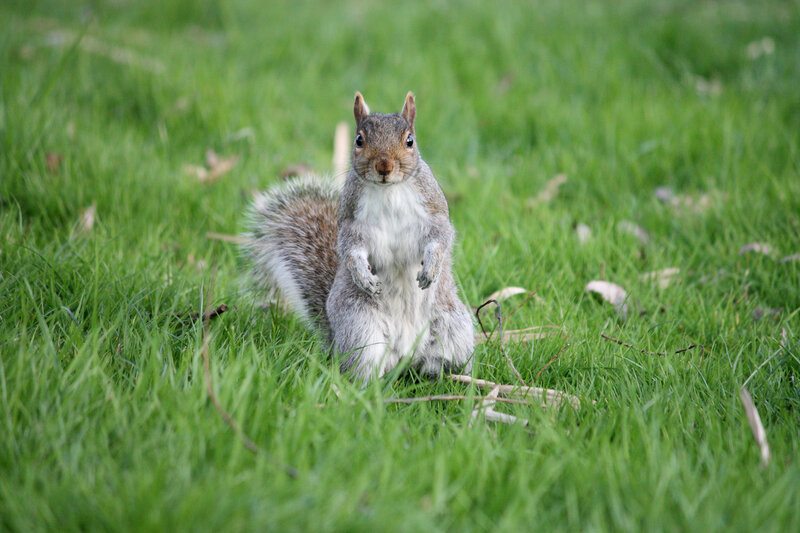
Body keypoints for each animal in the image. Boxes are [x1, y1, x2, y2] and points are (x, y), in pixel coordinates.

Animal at [244, 92, 474, 381]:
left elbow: (441, 237)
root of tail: (406, 355)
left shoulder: (434, 211)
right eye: (359, 140)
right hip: (360, 328)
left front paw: (430, 268)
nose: (384, 165)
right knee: (364, 368)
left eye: (410, 140)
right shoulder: (351, 222)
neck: (389, 190)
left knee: (441, 361)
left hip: (453, 327)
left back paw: (451, 379)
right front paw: (363, 276)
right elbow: (350, 248)